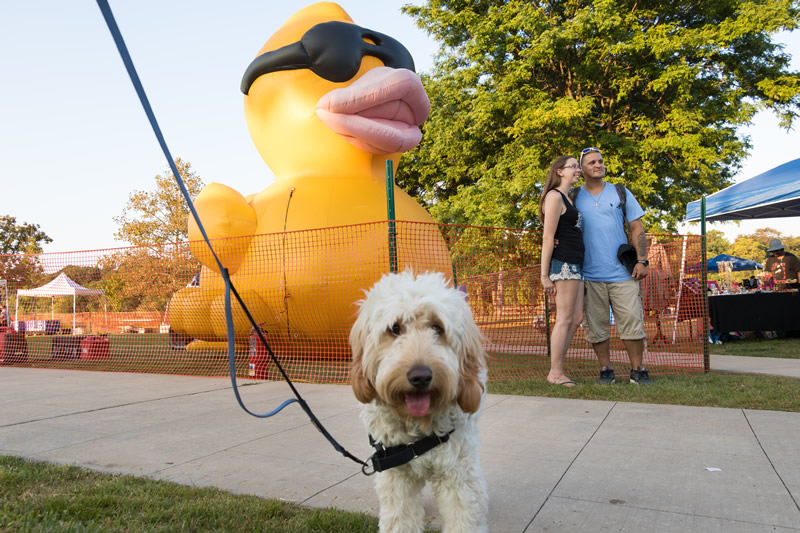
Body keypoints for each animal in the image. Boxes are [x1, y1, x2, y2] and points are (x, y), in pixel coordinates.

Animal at [350, 272, 488, 528]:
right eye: (394, 328)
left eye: (437, 327)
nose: (420, 376)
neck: (418, 428)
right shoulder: (395, 472)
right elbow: (399, 519)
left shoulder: (457, 471)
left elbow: (464, 515)